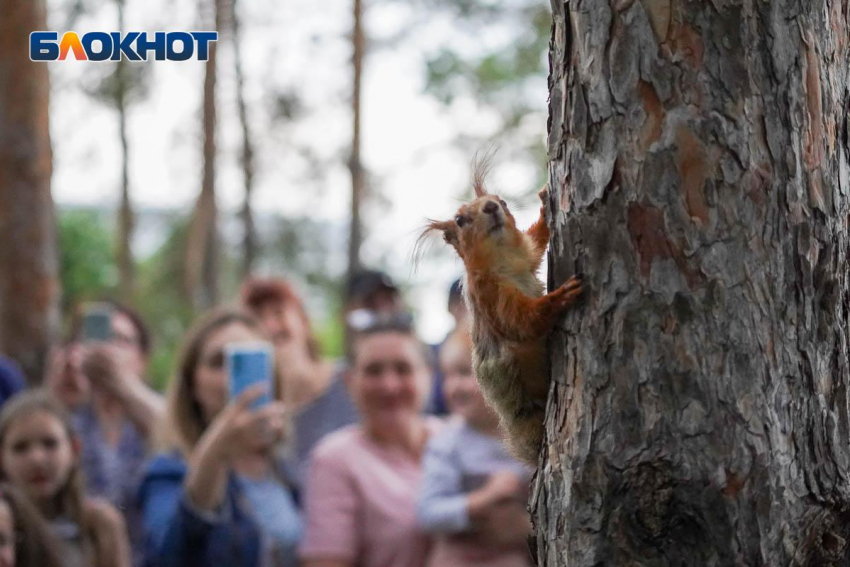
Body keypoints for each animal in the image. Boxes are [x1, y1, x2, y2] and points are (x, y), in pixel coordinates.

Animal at [420, 166, 580, 464]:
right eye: (459, 220)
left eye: (502, 201)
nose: (492, 207)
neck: (504, 260)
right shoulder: (491, 297)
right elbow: (521, 322)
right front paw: (560, 297)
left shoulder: (525, 257)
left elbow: (535, 243)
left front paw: (544, 205)